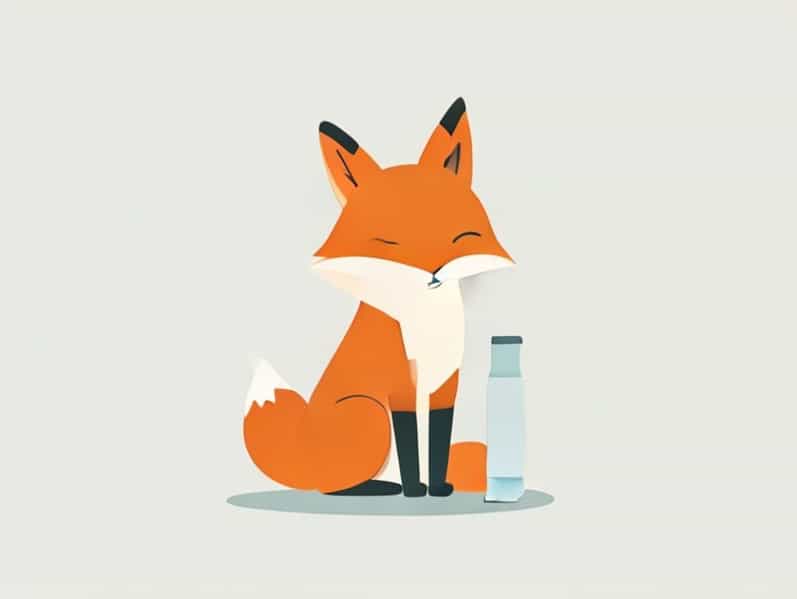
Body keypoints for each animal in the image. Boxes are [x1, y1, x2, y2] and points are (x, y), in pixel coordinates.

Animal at [244, 98, 513, 496]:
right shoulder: (398, 387)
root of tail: (302, 449)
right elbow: (410, 445)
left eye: (458, 236)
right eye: (389, 243)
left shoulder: (446, 385)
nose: (432, 271)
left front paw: (438, 487)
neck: (428, 322)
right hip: (370, 413)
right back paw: (378, 487)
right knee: (331, 485)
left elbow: (439, 439)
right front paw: (416, 491)